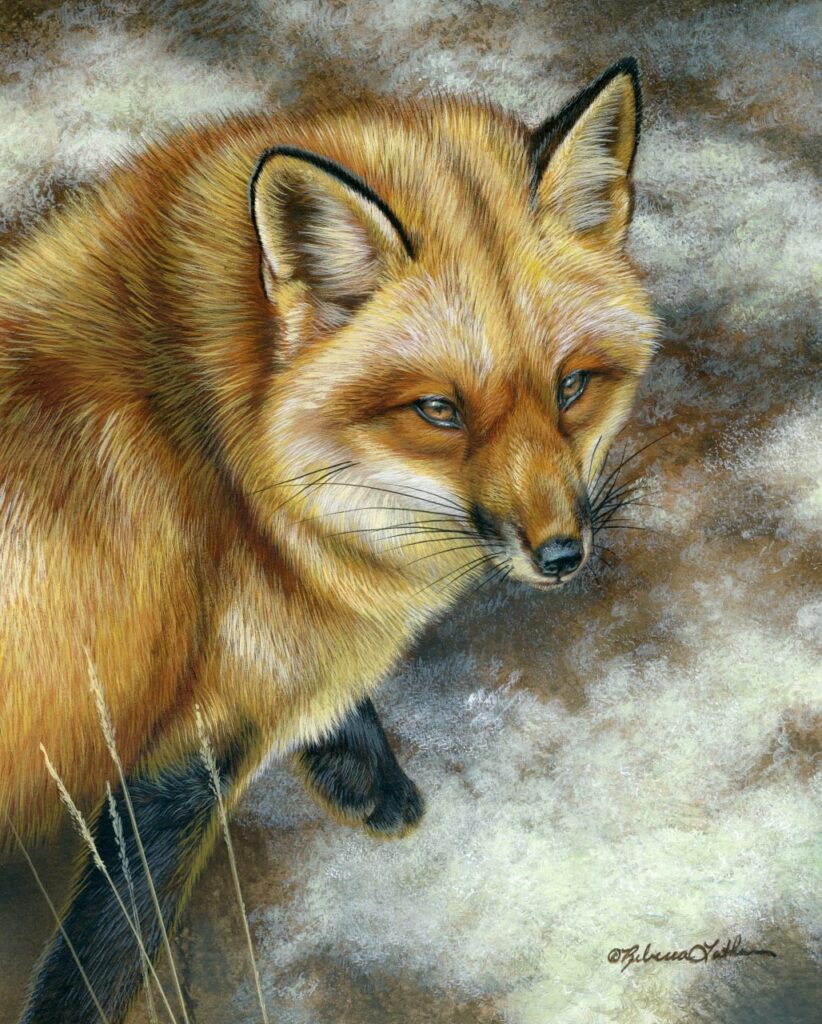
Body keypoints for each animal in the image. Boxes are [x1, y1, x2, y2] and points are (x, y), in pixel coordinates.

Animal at [0, 58, 656, 1021]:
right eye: (438, 411)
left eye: (572, 387)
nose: (563, 555)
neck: (212, 452)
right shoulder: (170, 772)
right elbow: (95, 971)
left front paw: (363, 771)